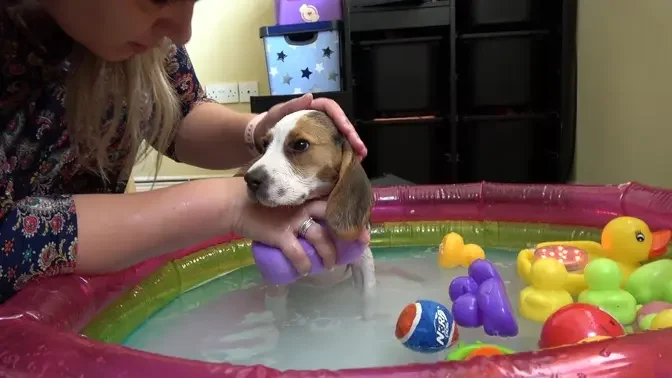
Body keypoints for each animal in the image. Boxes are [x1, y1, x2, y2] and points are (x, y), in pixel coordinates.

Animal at [236, 109, 376, 324]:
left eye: (300, 145)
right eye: (265, 145)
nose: (250, 179)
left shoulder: (363, 259)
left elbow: (367, 298)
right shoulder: (277, 285)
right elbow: (279, 316)